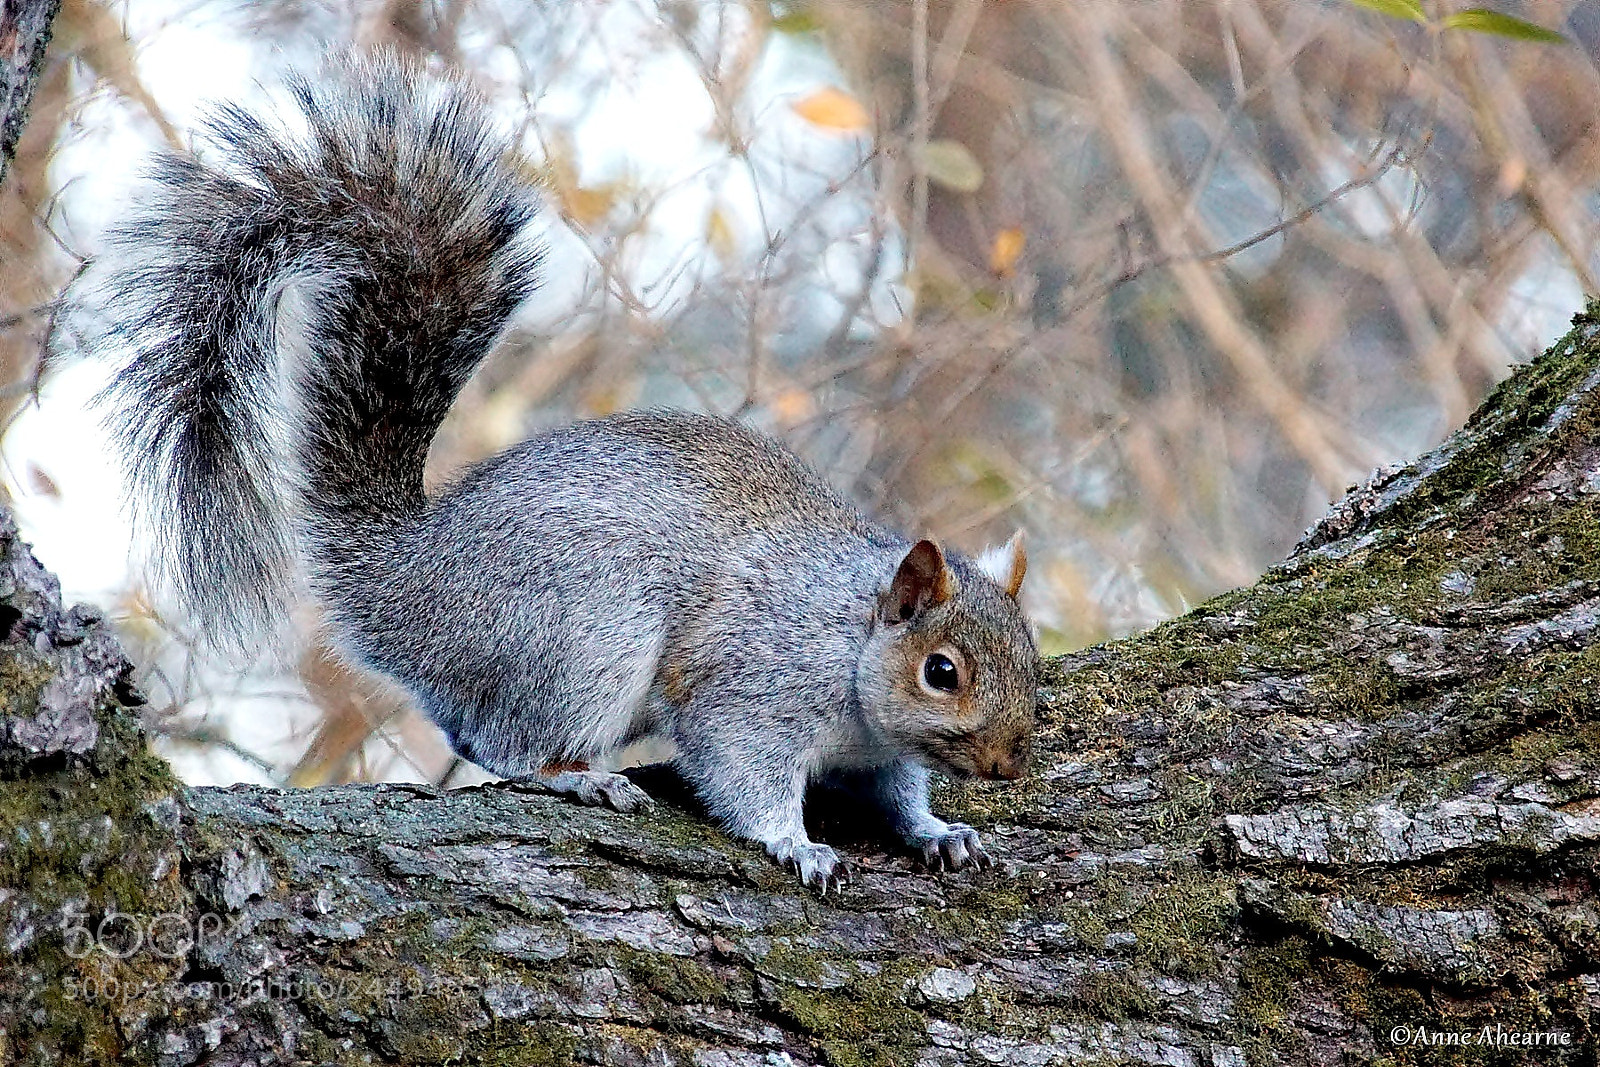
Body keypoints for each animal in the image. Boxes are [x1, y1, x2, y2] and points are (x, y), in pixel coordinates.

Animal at [88, 53, 1039, 891]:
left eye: (1030, 656)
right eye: (941, 671)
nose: (1006, 763)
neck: (849, 640)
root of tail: (404, 582)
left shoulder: (878, 753)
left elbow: (896, 791)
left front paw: (938, 830)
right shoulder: (753, 685)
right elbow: (739, 768)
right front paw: (797, 843)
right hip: (583, 636)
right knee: (509, 746)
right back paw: (580, 773)